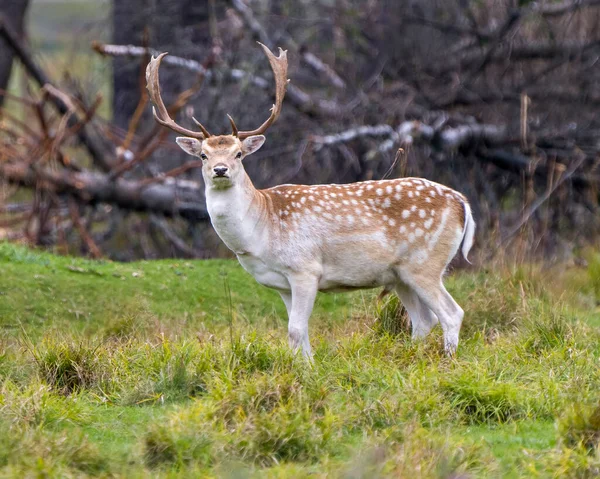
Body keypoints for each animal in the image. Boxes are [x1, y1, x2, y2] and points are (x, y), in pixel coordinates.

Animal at [145, 45, 474, 358]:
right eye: (203, 155)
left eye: (238, 153)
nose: (220, 169)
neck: (261, 231)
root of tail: (462, 202)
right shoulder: (281, 284)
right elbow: (297, 334)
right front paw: (302, 367)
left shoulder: (305, 269)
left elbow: (295, 330)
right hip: (399, 274)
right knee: (424, 320)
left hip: (425, 263)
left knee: (452, 313)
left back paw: (447, 360)